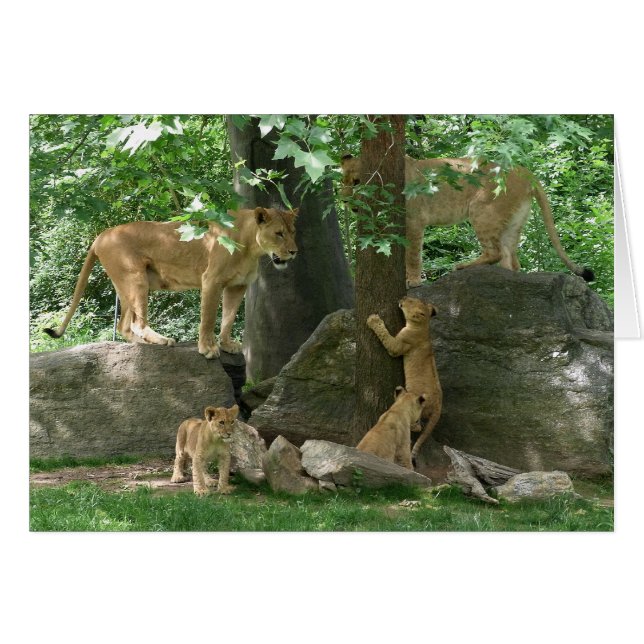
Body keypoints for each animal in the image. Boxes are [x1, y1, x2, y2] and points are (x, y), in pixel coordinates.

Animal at [44, 207, 299, 358]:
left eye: (292, 231)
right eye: (278, 233)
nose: (294, 252)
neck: (251, 248)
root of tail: (101, 235)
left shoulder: (237, 286)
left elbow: (228, 317)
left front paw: (226, 344)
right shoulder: (211, 280)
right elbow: (208, 318)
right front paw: (207, 348)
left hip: (126, 285)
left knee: (124, 325)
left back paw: (142, 343)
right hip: (136, 279)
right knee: (136, 323)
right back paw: (160, 341)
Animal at [340, 154, 593, 287]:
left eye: (356, 181)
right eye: (342, 181)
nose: (344, 201)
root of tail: (525, 171)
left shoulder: (415, 221)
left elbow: (412, 255)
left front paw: (412, 281)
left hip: (481, 209)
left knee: (494, 253)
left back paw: (461, 267)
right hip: (513, 222)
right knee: (511, 260)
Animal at [367, 296, 442, 463]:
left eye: (410, 301)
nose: (402, 298)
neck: (424, 327)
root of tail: (439, 407)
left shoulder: (398, 345)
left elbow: (385, 336)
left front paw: (373, 319)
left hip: (418, 405)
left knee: (418, 426)